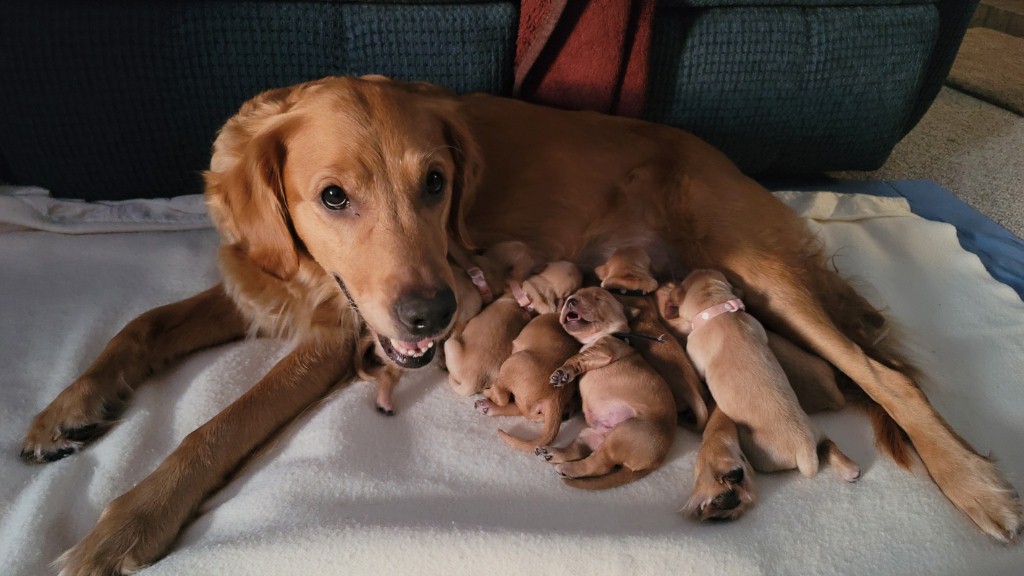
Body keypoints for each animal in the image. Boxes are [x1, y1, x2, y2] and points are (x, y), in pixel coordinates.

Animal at [473, 309, 581, 448]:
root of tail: (556, 395)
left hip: (512, 362)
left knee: (503, 398)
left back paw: (487, 395)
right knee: (519, 409)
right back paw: (486, 407)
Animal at [536, 284, 679, 485]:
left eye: (599, 299)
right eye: (574, 295)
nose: (570, 300)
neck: (610, 334)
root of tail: (656, 462)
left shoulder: (604, 349)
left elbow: (576, 358)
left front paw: (563, 372)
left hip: (624, 434)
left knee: (599, 464)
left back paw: (567, 468)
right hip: (591, 434)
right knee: (578, 450)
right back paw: (551, 453)